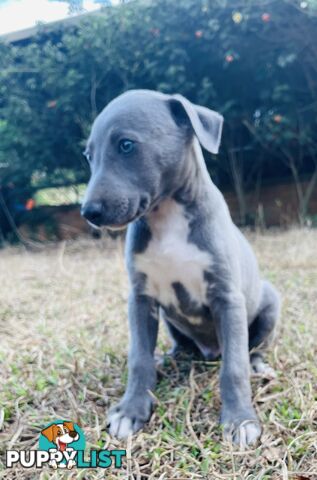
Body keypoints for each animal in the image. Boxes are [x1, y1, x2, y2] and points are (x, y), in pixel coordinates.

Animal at [81, 89, 278, 446]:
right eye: (88, 156)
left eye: (126, 145)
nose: (88, 212)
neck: (167, 215)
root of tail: (210, 351)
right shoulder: (140, 297)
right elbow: (139, 358)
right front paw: (131, 410)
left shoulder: (227, 297)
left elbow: (235, 367)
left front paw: (240, 419)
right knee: (178, 345)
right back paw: (168, 357)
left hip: (270, 302)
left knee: (252, 348)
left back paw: (259, 365)